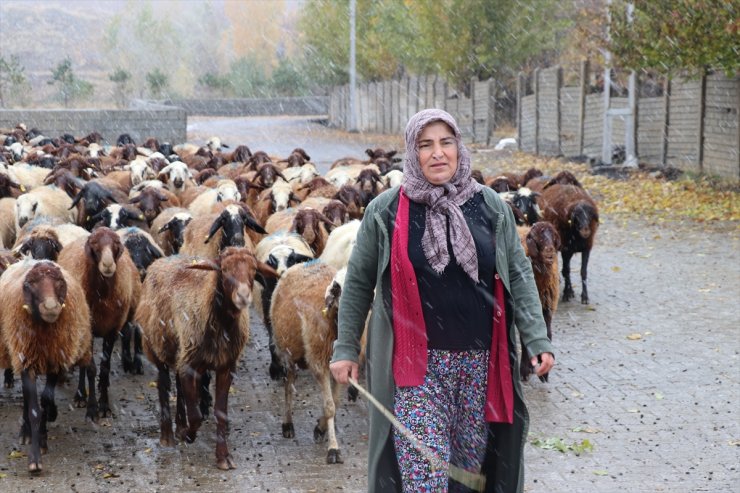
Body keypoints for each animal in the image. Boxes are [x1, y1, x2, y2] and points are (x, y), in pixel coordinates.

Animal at [0, 258, 92, 468]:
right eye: (30, 284)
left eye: (59, 282)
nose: (51, 307)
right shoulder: (26, 359)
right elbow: (34, 409)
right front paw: (35, 458)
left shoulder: (56, 359)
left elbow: (46, 400)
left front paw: (43, 437)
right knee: (27, 398)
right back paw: (25, 432)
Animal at [57, 227, 142, 416]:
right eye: (94, 244)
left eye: (116, 243)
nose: (108, 265)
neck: (102, 295)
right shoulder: (88, 328)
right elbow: (90, 368)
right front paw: (92, 408)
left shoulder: (112, 329)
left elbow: (104, 368)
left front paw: (104, 405)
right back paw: (80, 395)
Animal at [138, 246, 278, 468]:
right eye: (224, 270)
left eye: (254, 270)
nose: (243, 296)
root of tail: (161, 260)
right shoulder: (190, 365)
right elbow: (196, 416)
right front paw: (189, 435)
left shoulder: (225, 366)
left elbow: (220, 413)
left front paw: (223, 457)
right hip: (156, 344)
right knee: (163, 384)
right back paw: (167, 436)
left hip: (183, 351)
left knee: (179, 384)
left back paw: (179, 425)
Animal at [272, 264, 350, 464]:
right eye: (340, 290)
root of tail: (300, 264)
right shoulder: (318, 362)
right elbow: (330, 406)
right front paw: (333, 449)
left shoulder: (340, 367)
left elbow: (335, 402)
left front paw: (321, 429)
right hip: (289, 353)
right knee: (288, 385)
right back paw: (287, 424)